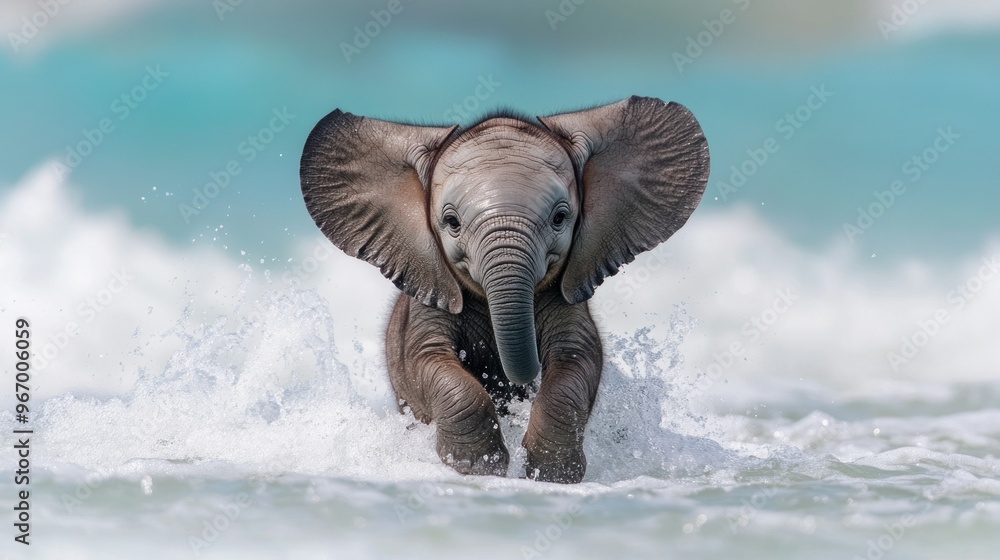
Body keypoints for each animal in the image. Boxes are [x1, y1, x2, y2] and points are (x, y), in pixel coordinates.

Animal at [300, 96, 709, 483]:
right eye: (451, 222)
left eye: (560, 217)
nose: (517, 382)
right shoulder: (429, 296)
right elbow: (426, 360)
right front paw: (477, 466)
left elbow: (578, 360)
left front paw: (549, 474)